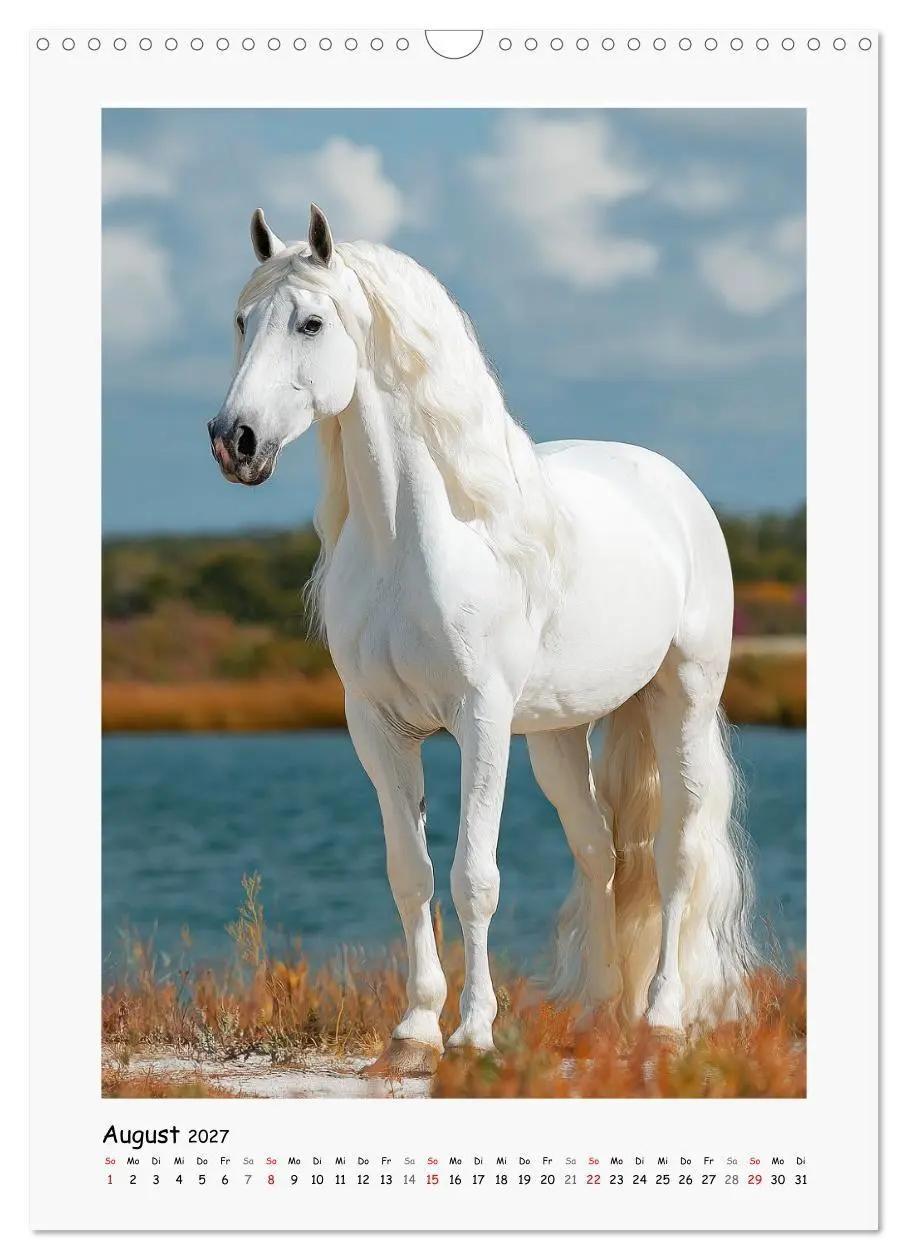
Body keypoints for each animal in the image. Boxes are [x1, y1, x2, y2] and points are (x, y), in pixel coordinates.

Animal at [207, 204, 758, 1076]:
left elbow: (474, 875)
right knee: (600, 854)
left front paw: (471, 1036)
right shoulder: (377, 727)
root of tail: (672, 487)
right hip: (561, 733)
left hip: (683, 701)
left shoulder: (481, 721)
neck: (414, 539)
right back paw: (601, 1017)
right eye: (241, 320)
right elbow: (411, 872)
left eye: (310, 322)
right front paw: (411, 1035)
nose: (236, 441)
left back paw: (662, 1022)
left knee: (676, 854)